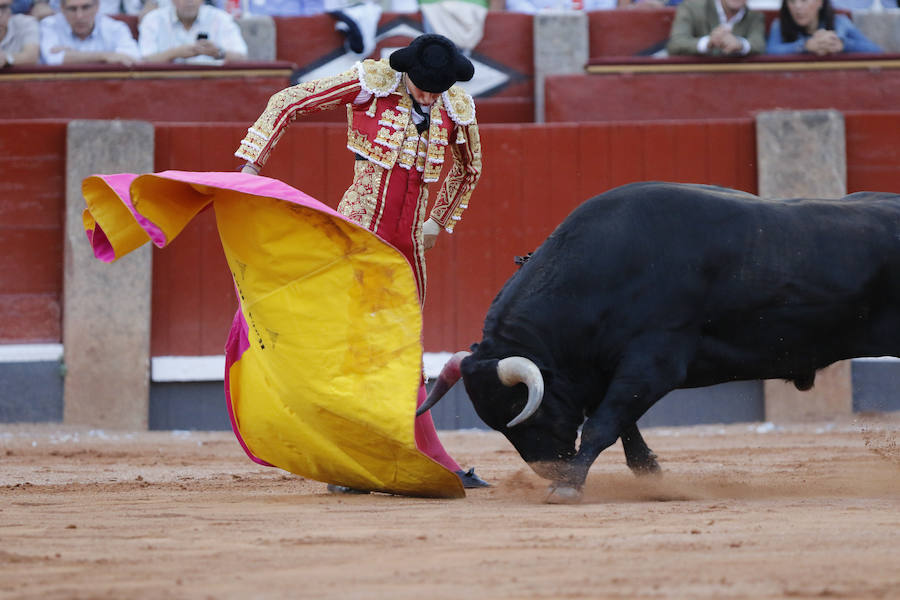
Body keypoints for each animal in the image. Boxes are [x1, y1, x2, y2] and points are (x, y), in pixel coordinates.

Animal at [418, 180, 900, 500]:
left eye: (525, 411)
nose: (550, 472)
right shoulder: (610, 369)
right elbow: (620, 422)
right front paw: (651, 474)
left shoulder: (654, 363)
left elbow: (604, 422)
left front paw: (570, 488)